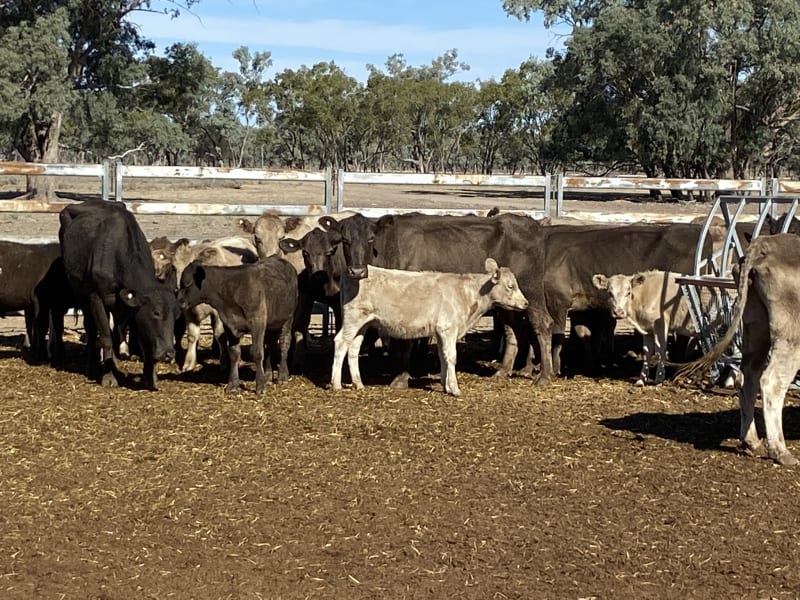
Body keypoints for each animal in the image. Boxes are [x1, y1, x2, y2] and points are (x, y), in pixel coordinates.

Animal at [59, 200, 179, 390]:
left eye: (176, 314)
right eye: (156, 313)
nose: (168, 354)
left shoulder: (132, 306)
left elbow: (141, 339)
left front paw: (150, 377)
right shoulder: (96, 297)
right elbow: (106, 336)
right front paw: (109, 376)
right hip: (80, 293)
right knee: (92, 328)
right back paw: (92, 365)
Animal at [176, 257, 298, 394]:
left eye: (188, 283)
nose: (179, 302)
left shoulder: (257, 323)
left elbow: (257, 353)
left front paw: (260, 386)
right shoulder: (229, 325)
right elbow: (234, 354)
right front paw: (233, 384)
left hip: (288, 319)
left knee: (284, 344)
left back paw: (283, 375)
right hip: (271, 325)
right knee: (270, 345)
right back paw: (267, 374)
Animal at [331, 258, 529, 396]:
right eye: (510, 286)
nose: (526, 303)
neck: (466, 294)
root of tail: (352, 272)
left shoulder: (441, 332)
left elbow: (443, 356)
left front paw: (445, 385)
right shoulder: (448, 328)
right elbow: (452, 357)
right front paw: (455, 389)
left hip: (363, 324)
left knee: (353, 348)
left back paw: (358, 384)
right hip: (353, 318)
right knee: (340, 343)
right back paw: (336, 384)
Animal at [680, 234, 800, 466]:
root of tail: (765, 244)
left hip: (755, 324)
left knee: (747, 377)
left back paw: (751, 441)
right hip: (791, 333)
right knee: (771, 382)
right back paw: (780, 451)